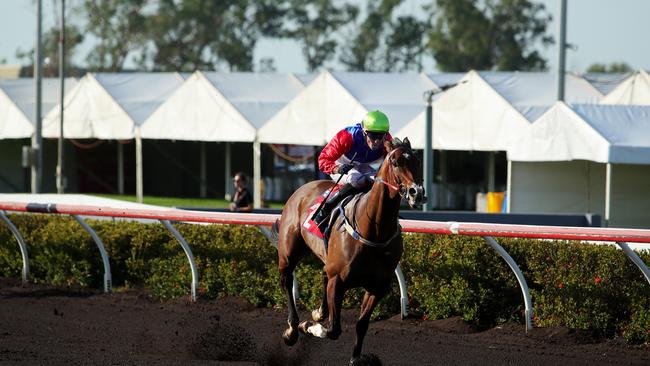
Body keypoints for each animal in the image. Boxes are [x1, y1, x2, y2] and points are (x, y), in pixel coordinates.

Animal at [274, 137, 422, 364]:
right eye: (396, 162)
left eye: (417, 161)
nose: (417, 192)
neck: (374, 230)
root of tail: (302, 188)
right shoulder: (338, 282)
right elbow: (333, 329)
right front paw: (308, 326)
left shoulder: (377, 287)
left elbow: (362, 325)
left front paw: (356, 359)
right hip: (288, 252)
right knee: (286, 280)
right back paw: (292, 329)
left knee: (323, 274)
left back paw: (318, 313)